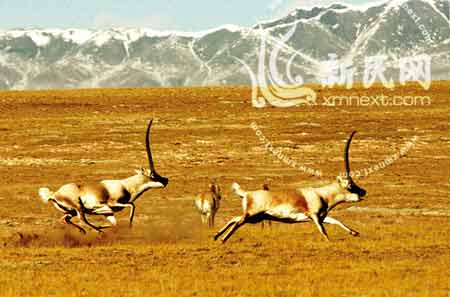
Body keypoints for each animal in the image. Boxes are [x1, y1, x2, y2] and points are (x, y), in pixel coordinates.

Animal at [38, 119, 169, 232]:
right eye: (152, 174)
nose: (166, 180)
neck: (126, 186)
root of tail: (54, 194)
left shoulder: (108, 212)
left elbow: (115, 223)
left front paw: (105, 226)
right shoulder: (111, 204)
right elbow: (132, 205)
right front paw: (128, 225)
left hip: (71, 211)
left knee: (65, 219)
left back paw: (86, 231)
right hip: (78, 208)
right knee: (82, 219)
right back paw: (98, 231)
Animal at [214, 131, 366, 242]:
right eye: (350, 185)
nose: (363, 192)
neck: (322, 194)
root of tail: (246, 193)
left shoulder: (321, 217)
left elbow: (335, 220)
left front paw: (354, 232)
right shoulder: (314, 216)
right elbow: (323, 230)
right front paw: (329, 241)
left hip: (255, 218)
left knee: (234, 219)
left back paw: (217, 236)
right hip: (252, 215)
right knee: (237, 222)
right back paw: (222, 239)